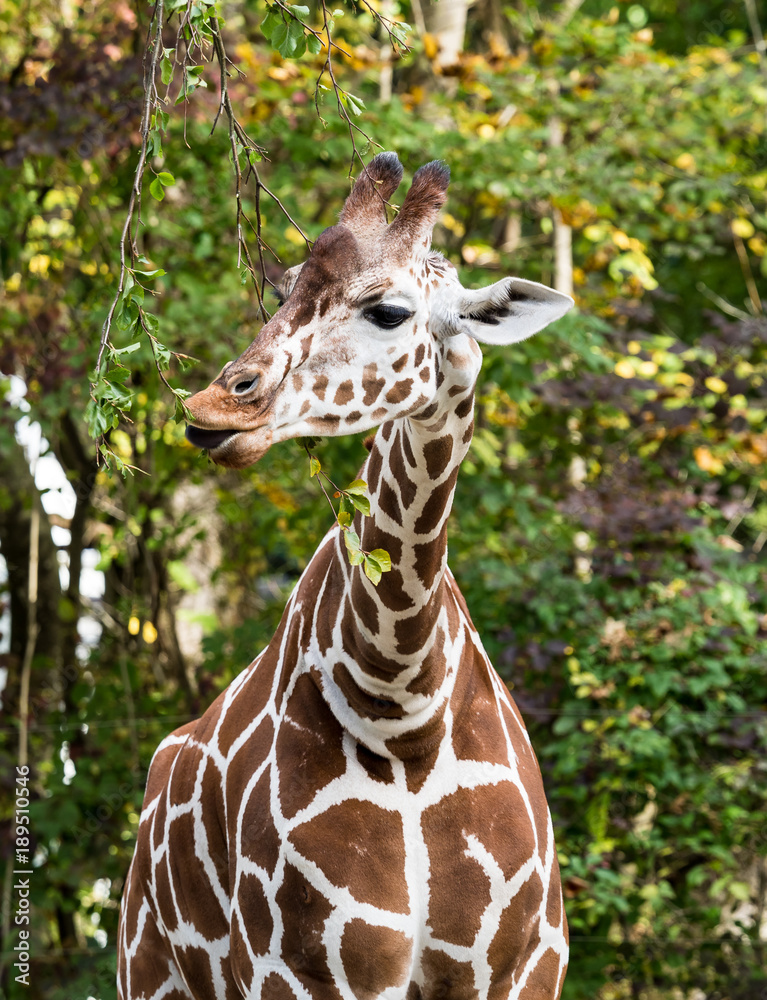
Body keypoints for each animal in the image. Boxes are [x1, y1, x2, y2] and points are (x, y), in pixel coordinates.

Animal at [118, 153, 574, 1000]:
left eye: (388, 311)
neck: (402, 705)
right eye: (283, 290)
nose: (212, 406)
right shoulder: (301, 971)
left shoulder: (521, 967)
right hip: (150, 969)